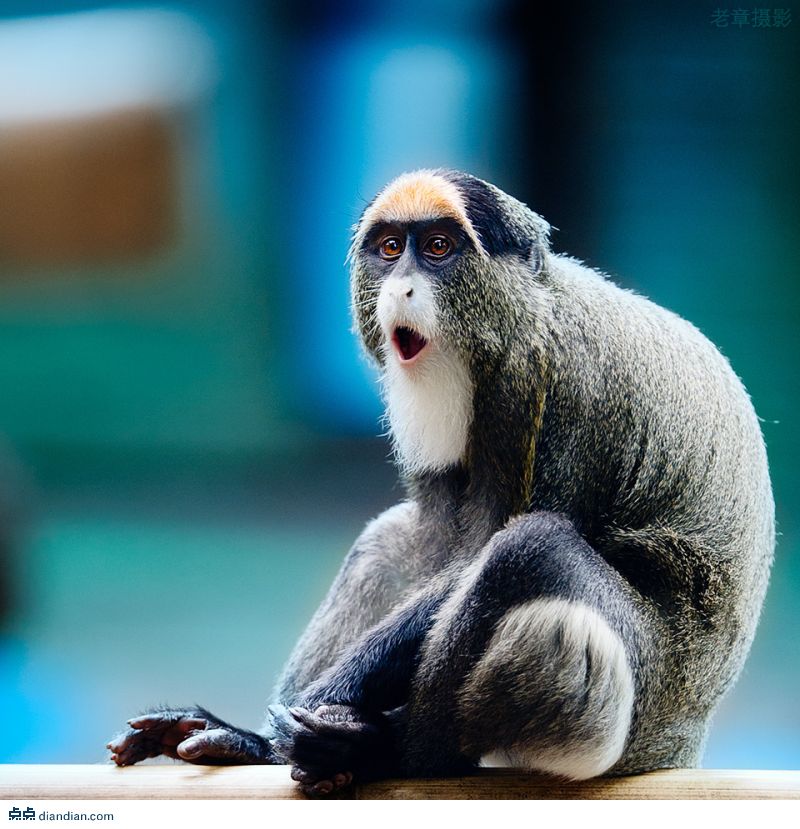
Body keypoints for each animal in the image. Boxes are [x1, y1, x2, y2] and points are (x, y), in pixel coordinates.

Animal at [108, 169, 774, 797]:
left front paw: (299, 727)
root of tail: (682, 743)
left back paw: (387, 753)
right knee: (390, 542)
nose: (402, 286)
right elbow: (437, 544)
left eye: (437, 248)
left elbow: (484, 555)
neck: (520, 320)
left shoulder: (570, 388)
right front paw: (259, 737)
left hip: (639, 707)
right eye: (390, 247)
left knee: (530, 549)